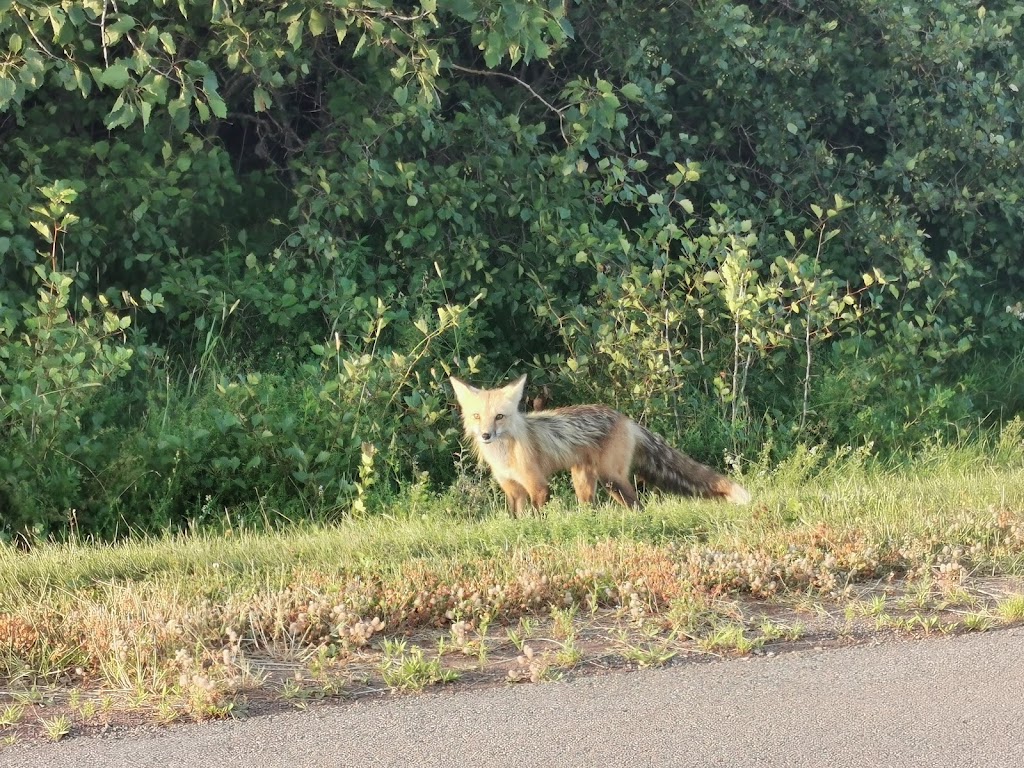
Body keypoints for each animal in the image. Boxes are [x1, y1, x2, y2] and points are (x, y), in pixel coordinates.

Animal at [450, 374, 753, 518]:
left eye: (499, 417)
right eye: (477, 417)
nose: (486, 435)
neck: (505, 455)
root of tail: (626, 418)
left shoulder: (538, 486)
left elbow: (537, 515)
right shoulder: (513, 489)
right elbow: (515, 517)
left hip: (611, 479)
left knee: (637, 504)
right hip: (585, 481)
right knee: (592, 508)